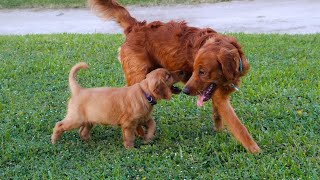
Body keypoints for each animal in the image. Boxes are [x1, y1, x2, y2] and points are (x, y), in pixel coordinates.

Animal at [50, 62, 180, 148]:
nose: (182, 72)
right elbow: (129, 137)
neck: (144, 93)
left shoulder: (143, 118)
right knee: (59, 125)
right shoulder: (129, 123)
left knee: (83, 132)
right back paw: (54, 141)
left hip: (89, 120)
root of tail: (79, 90)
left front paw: (147, 138)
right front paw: (131, 149)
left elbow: (152, 124)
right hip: (76, 119)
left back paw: (90, 142)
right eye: (168, 76)